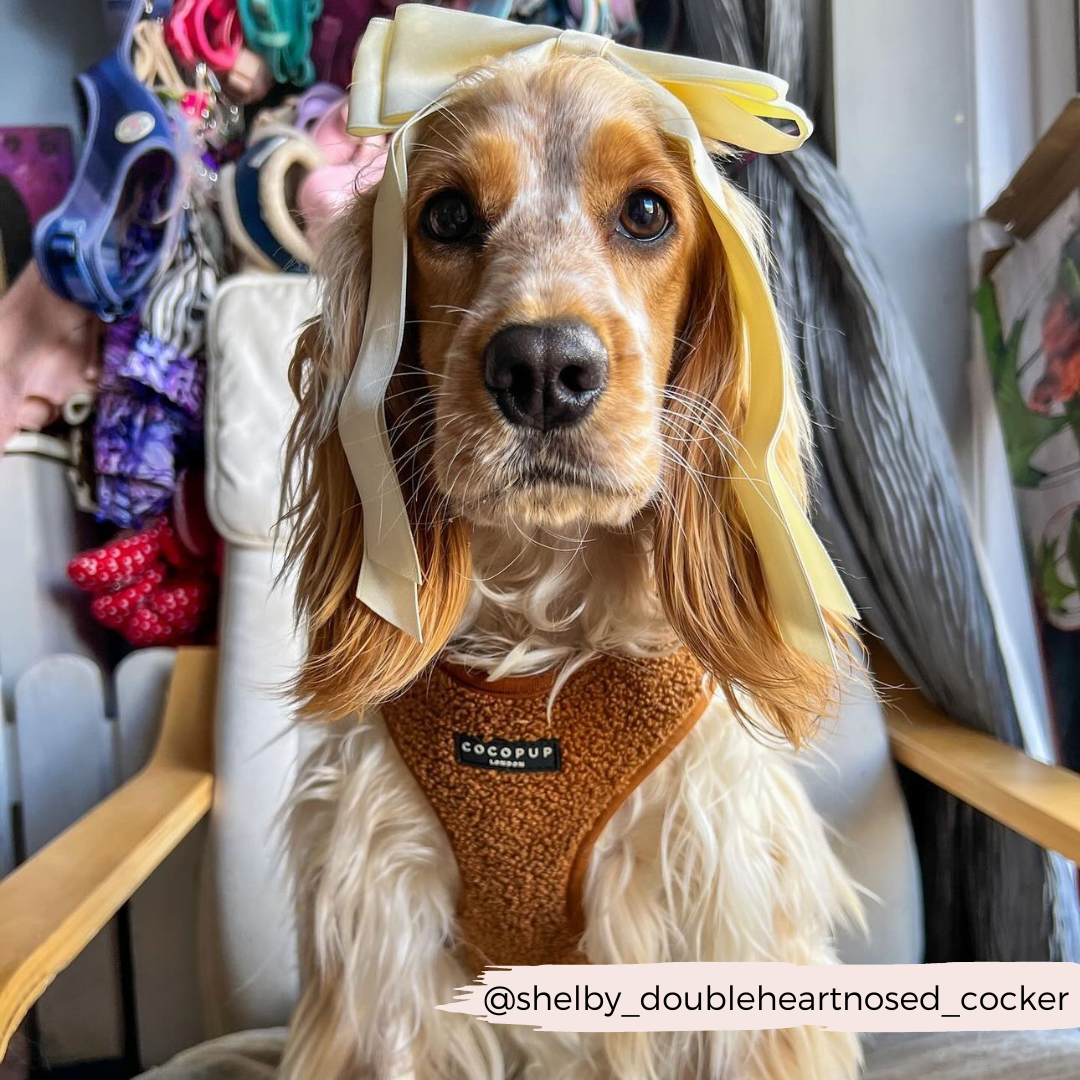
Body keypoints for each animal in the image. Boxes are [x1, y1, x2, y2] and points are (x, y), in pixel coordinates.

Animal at [276, 38, 859, 1080]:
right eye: (447, 214)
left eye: (647, 212)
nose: (544, 369)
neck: (537, 632)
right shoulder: (389, 942)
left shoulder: (720, 913)